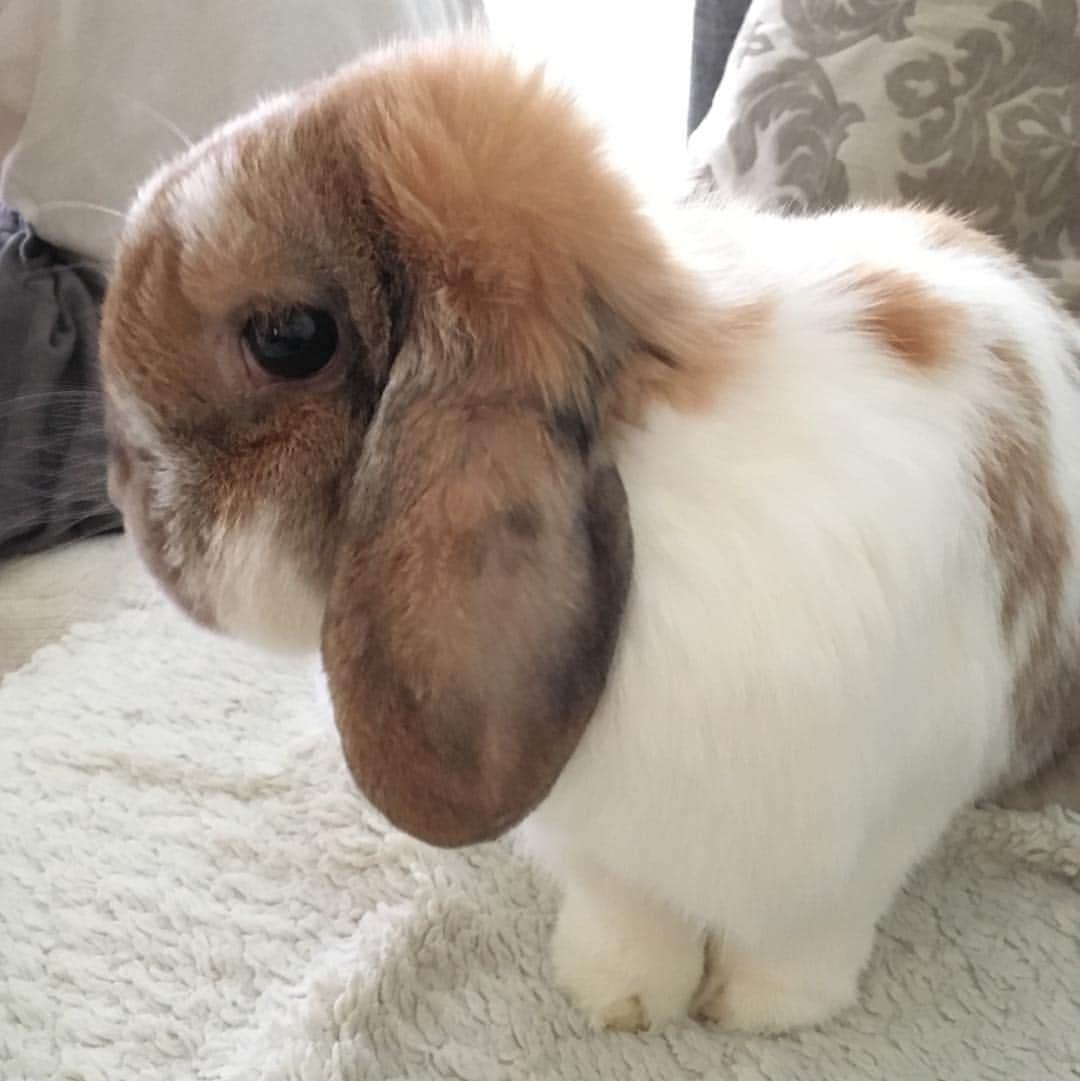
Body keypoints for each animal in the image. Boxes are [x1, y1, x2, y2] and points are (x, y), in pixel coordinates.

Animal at [97, 38, 1080, 1033]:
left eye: (289, 336)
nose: (122, 486)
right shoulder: (601, 848)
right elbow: (630, 917)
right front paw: (620, 998)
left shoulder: (866, 842)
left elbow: (808, 939)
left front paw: (763, 1012)